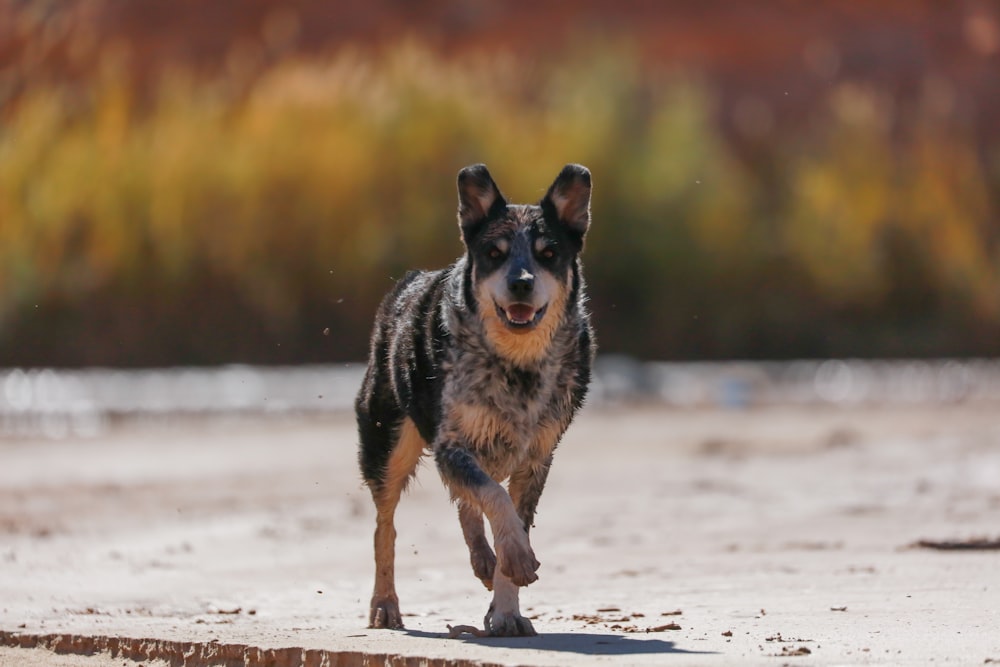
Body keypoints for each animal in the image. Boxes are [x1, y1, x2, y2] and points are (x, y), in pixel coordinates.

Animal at [356, 162, 592, 636]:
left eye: (548, 254)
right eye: (495, 253)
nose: (521, 283)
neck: (517, 363)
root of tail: (406, 283)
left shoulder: (537, 456)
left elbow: (505, 510)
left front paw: (506, 609)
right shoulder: (452, 443)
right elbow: (493, 499)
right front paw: (516, 557)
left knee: (464, 502)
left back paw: (483, 559)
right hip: (388, 440)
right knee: (385, 523)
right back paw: (385, 604)